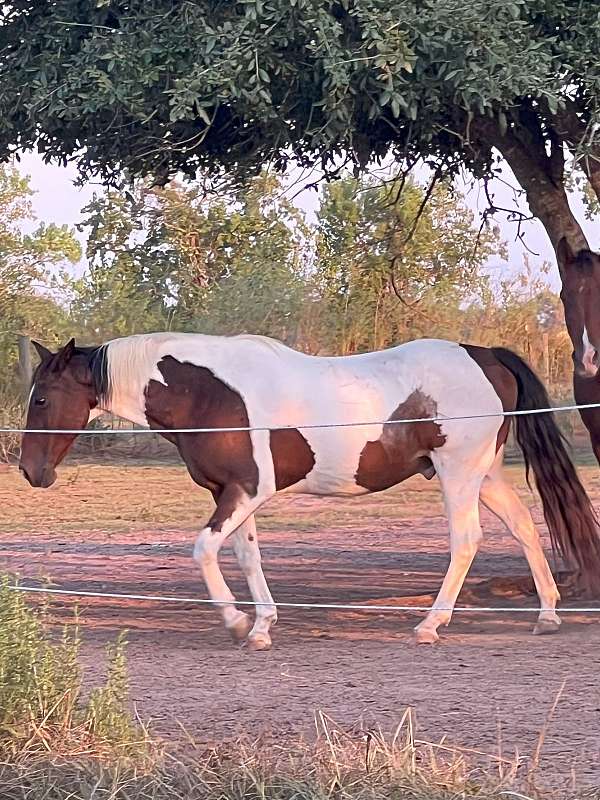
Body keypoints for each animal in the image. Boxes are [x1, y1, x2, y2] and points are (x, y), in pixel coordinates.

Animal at [17, 332, 600, 648]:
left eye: (42, 398)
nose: (29, 472)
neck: (210, 394)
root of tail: (485, 356)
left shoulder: (247, 491)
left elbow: (203, 549)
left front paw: (236, 622)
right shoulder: (232, 493)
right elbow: (246, 556)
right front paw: (261, 626)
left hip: (458, 474)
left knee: (467, 541)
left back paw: (430, 624)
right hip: (484, 474)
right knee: (524, 527)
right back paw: (547, 615)